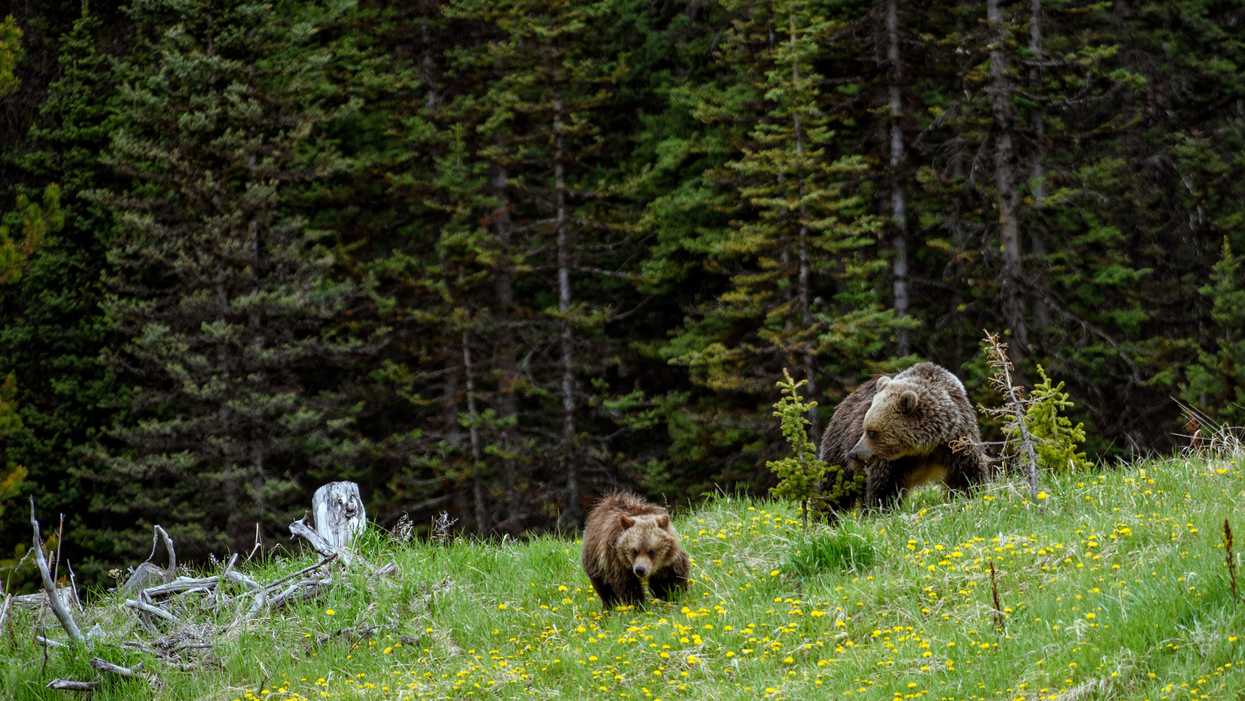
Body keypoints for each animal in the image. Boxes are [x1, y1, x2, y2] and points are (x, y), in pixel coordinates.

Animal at [818, 361, 988, 511]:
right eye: (864, 428)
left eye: (872, 432)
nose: (854, 453)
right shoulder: (892, 463)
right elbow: (883, 487)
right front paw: (880, 509)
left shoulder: (955, 441)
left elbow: (966, 475)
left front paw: (969, 496)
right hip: (838, 449)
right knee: (833, 489)